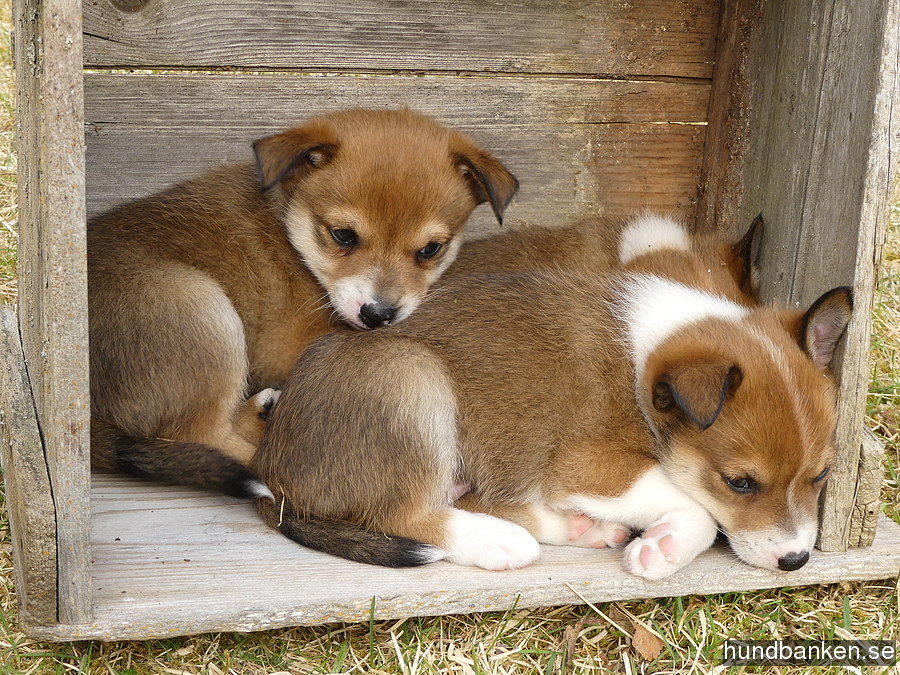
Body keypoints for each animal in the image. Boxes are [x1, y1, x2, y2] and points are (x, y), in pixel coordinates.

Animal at [90, 107, 516, 496]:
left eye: (430, 249)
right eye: (343, 235)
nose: (378, 315)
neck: (290, 231)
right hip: (201, 307)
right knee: (204, 436)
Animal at [251, 214, 852, 580]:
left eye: (822, 475)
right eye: (740, 483)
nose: (797, 561)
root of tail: (273, 475)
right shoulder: (591, 466)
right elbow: (695, 505)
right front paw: (665, 546)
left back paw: (580, 528)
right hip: (412, 378)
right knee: (407, 512)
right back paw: (502, 541)